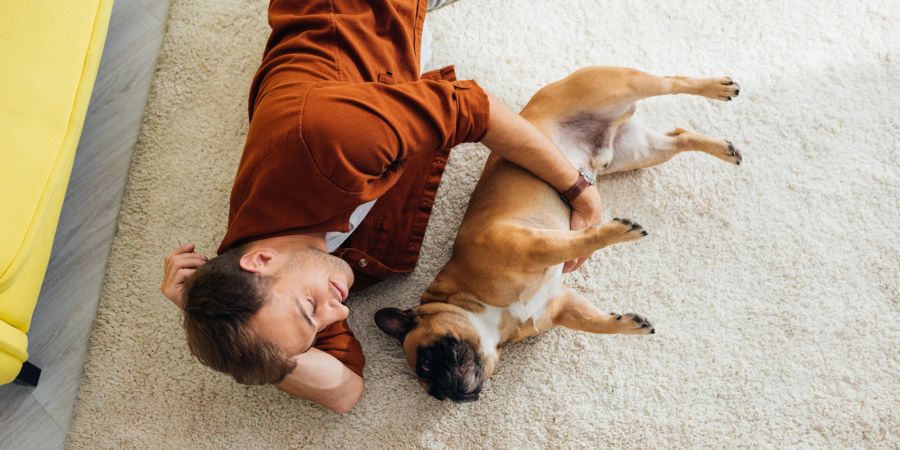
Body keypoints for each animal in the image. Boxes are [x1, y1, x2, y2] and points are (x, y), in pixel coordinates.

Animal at [372, 67, 740, 400]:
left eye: (427, 362)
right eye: (429, 385)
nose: (444, 393)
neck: (475, 305)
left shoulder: (531, 245)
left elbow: (580, 240)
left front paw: (615, 232)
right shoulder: (561, 304)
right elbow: (592, 321)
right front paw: (624, 323)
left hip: (622, 86)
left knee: (671, 82)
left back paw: (718, 87)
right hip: (640, 152)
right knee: (680, 137)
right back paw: (723, 148)